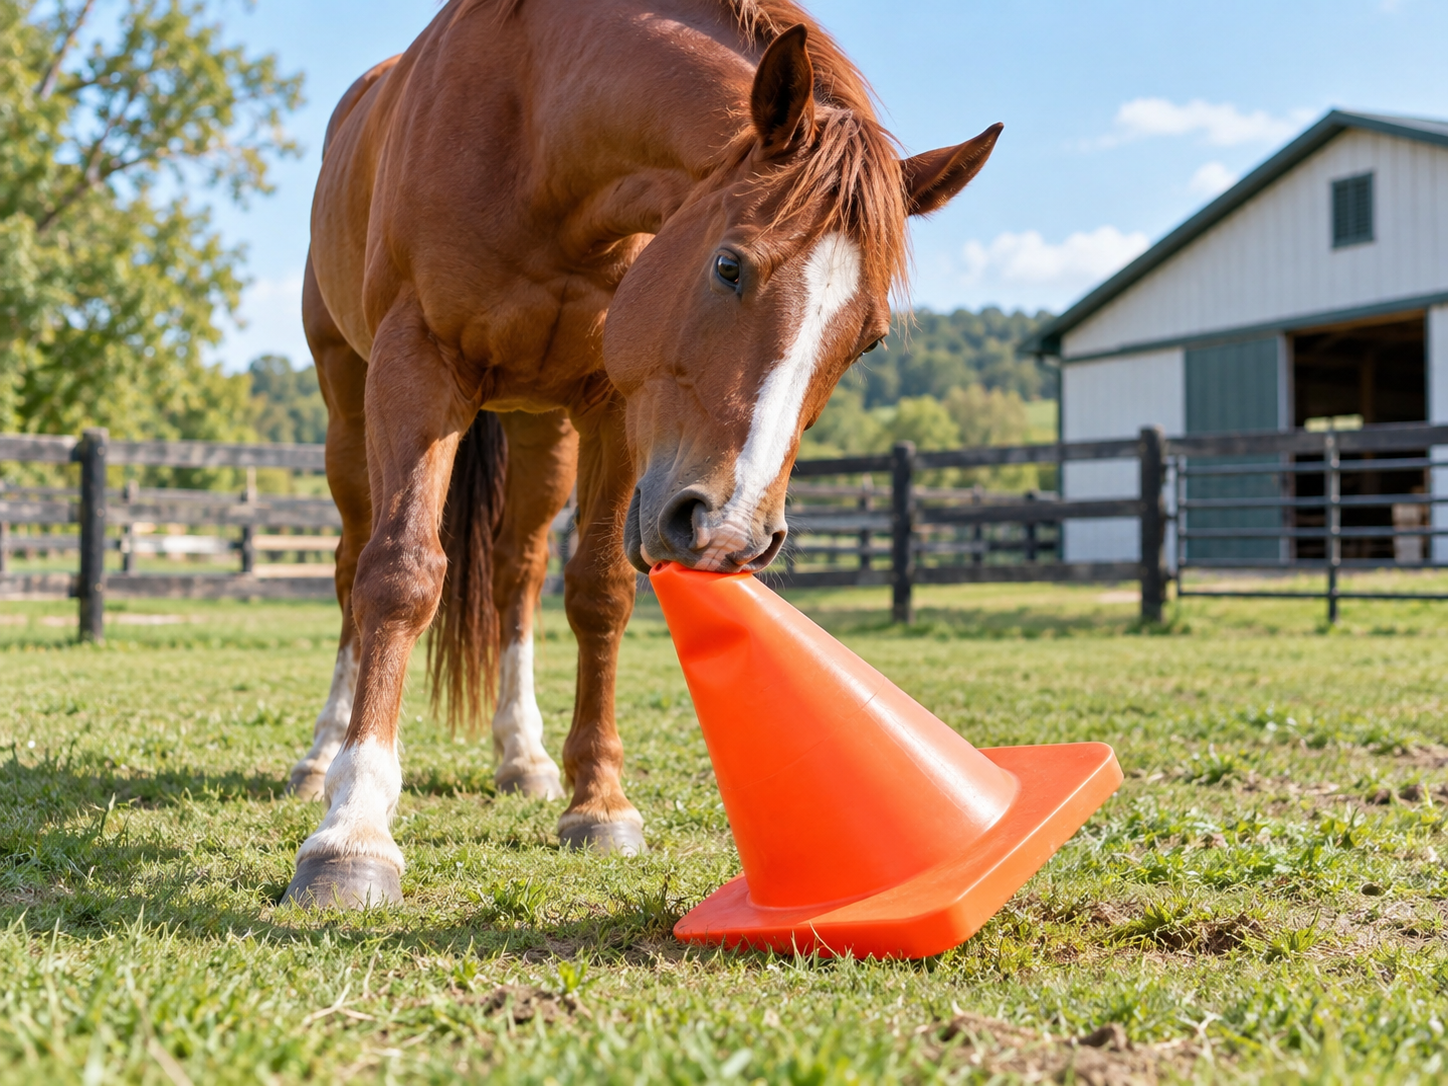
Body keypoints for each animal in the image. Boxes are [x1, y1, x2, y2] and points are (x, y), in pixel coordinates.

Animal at [280, 0, 1001, 909]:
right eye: (729, 266)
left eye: (868, 338)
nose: (732, 531)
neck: (536, 126)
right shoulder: (416, 362)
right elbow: (401, 573)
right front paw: (353, 832)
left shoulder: (613, 403)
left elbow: (599, 593)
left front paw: (598, 802)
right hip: (348, 402)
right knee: (350, 566)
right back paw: (319, 757)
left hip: (540, 432)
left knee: (518, 575)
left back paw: (522, 755)